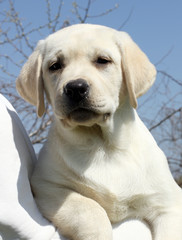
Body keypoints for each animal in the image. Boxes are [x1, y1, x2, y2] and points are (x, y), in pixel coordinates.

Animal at [16, 24, 182, 240]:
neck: (103, 145)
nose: (75, 87)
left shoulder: (168, 204)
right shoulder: (48, 186)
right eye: (55, 66)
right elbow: (90, 210)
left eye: (103, 60)